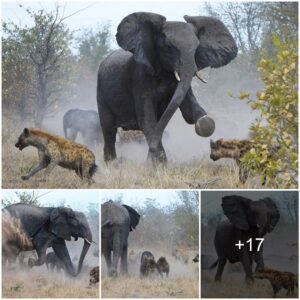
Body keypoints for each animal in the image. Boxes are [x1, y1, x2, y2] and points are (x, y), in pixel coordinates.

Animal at [97, 12, 238, 164]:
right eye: (169, 47)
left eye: (197, 48)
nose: (150, 151)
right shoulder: (139, 78)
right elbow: (147, 120)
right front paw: (158, 164)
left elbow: (189, 112)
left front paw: (205, 122)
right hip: (101, 94)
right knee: (109, 132)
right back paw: (112, 164)